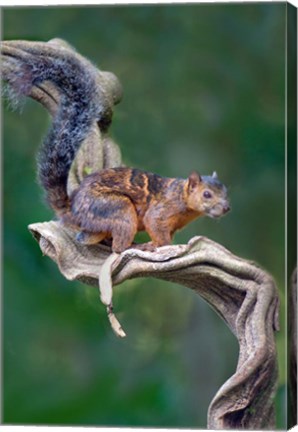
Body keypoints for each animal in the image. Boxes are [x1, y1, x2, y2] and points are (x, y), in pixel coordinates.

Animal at [6, 47, 230, 253]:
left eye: (225, 190)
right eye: (207, 194)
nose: (227, 207)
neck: (182, 197)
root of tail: (74, 211)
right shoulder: (161, 212)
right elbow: (157, 228)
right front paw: (162, 246)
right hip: (119, 210)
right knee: (118, 247)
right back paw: (135, 246)